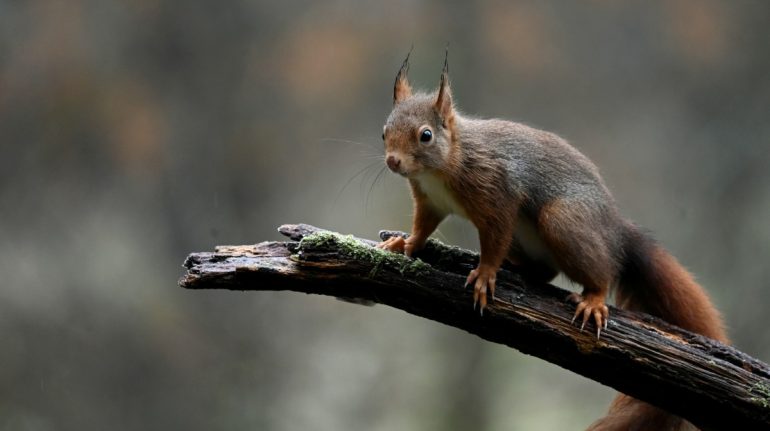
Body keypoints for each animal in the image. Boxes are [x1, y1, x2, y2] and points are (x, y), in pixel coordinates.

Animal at [376, 51, 724, 431]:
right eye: (384, 132)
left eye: (425, 135)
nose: (393, 161)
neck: (443, 164)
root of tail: (615, 230)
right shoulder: (430, 201)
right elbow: (423, 227)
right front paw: (404, 244)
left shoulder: (497, 193)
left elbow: (493, 238)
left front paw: (485, 274)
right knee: (545, 272)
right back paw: (519, 268)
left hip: (563, 221)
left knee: (600, 270)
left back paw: (593, 298)